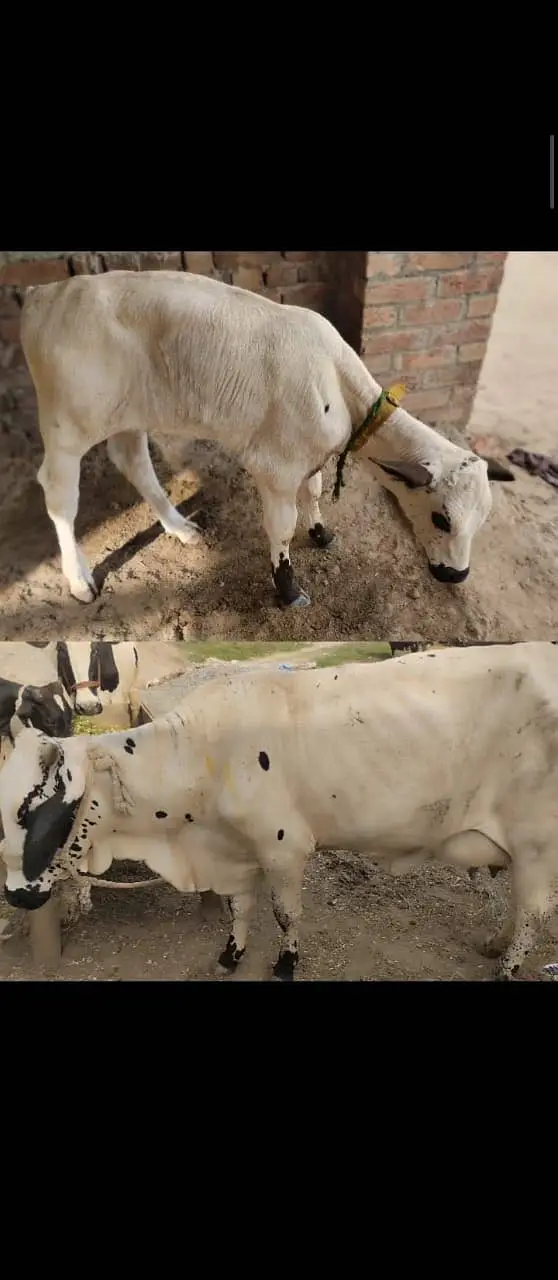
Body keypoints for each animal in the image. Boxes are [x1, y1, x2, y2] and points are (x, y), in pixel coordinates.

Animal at [1, 642, 556, 982]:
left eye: (34, 810)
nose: (15, 896)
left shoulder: (284, 847)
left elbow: (285, 912)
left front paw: (286, 963)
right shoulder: (237, 849)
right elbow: (240, 907)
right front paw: (231, 954)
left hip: (536, 841)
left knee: (533, 909)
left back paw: (507, 967)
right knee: (518, 905)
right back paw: (495, 944)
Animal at [20, 271, 509, 610]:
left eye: (483, 518)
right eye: (441, 518)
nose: (456, 577)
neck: (339, 385)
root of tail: (43, 295)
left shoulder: (309, 457)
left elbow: (314, 493)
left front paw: (321, 533)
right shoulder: (276, 467)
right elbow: (281, 528)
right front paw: (289, 590)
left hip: (130, 409)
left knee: (132, 460)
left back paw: (179, 527)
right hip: (66, 422)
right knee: (59, 494)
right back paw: (80, 580)